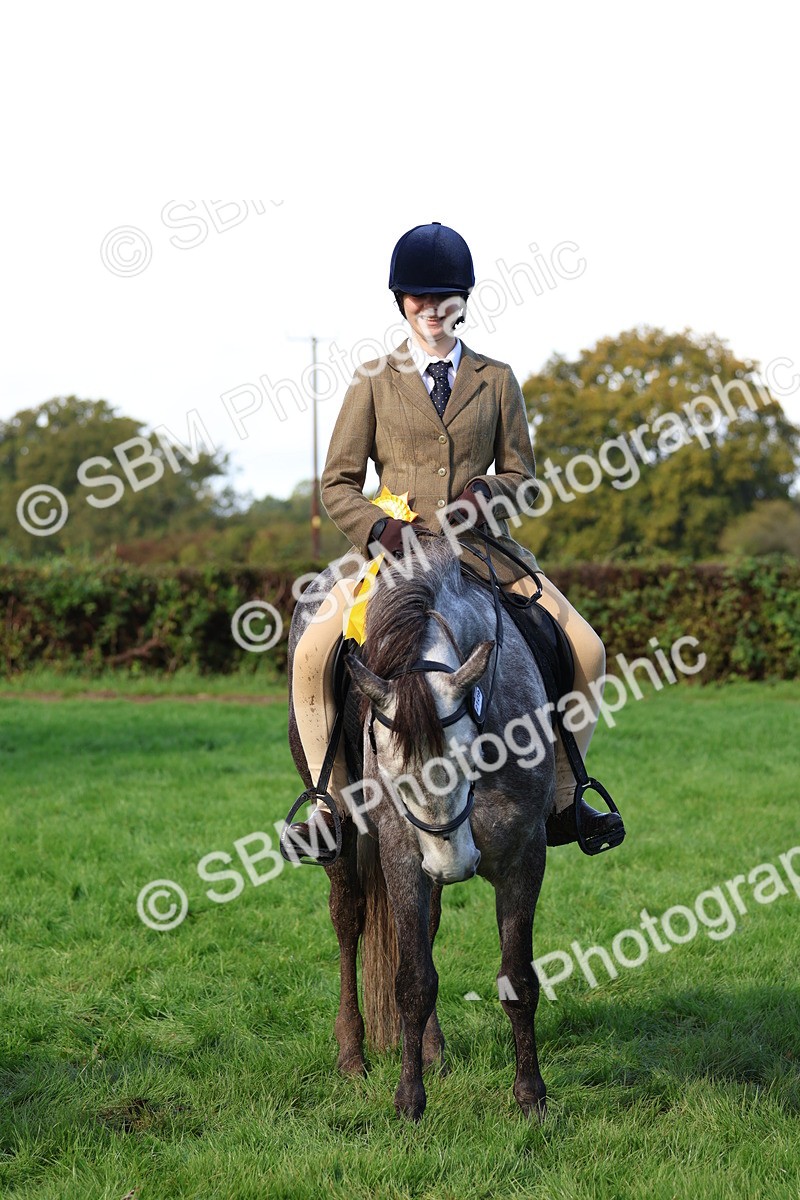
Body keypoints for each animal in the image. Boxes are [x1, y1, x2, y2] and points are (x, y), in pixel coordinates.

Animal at [285, 535, 555, 1121]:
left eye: (473, 755)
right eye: (393, 775)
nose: (452, 865)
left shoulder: (526, 854)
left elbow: (517, 977)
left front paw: (531, 1095)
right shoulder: (403, 856)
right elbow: (411, 981)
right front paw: (409, 1099)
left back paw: (432, 1049)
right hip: (344, 840)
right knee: (348, 920)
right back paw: (352, 1054)